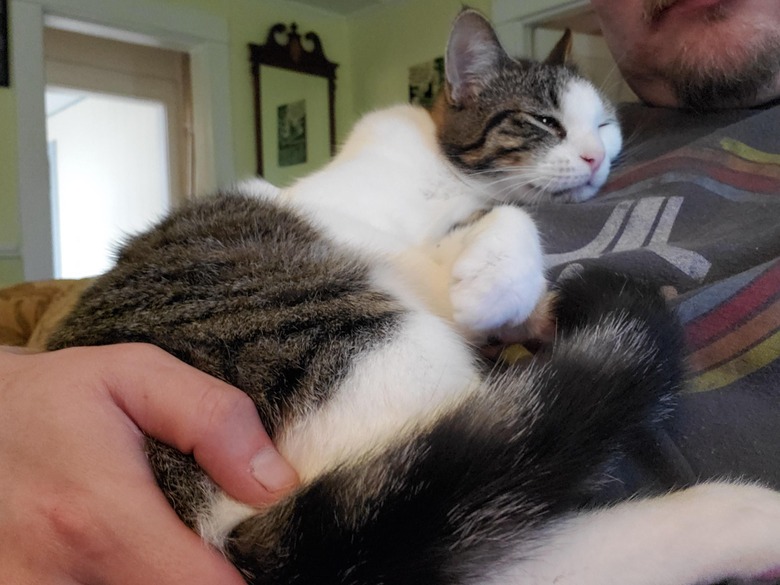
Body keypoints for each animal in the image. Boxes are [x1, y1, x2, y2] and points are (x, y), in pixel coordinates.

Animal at [47, 9, 780, 584]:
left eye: (604, 123)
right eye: (543, 121)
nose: (598, 158)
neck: (451, 174)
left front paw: (524, 303)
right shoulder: (356, 226)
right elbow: (505, 220)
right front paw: (499, 287)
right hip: (376, 346)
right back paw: (741, 517)